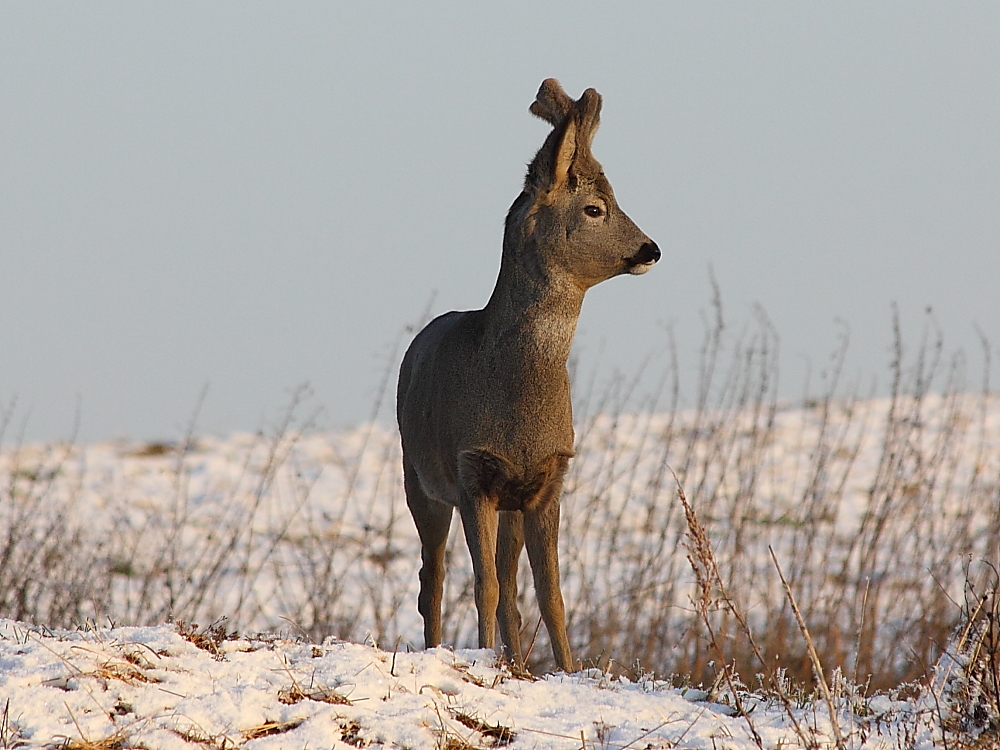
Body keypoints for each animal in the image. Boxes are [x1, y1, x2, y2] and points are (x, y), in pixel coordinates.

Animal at [394, 78, 660, 676]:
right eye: (595, 208)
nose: (651, 248)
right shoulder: (473, 471)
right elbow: (484, 586)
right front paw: (484, 659)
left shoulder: (547, 479)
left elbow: (551, 593)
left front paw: (565, 669)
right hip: (418, 478)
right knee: (432, 578)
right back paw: (439, 648)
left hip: (508, 502)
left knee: (508, 584)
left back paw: (516, 658)